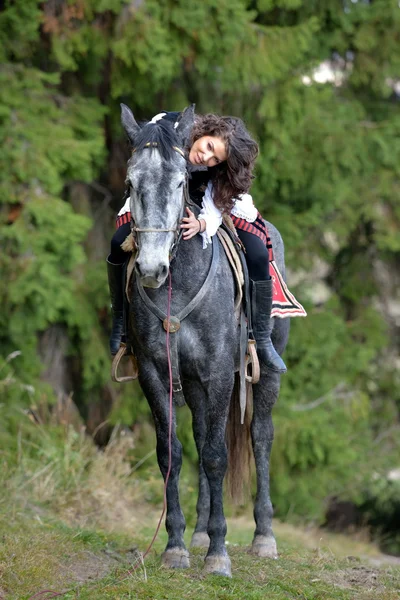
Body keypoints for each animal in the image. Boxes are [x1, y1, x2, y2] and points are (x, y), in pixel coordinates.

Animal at [120, 103, 290, 576]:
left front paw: (218, 555)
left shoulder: (218, 374)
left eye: (181, 182)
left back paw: (263, 537)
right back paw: (198, 532)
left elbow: (216, 455)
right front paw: (176, 545)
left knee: (260, 437)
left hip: (262, 378)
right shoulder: (157, 375)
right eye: (130, 183)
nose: (151, 268)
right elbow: (173, 454)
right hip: (193, 385)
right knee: (198, 435)